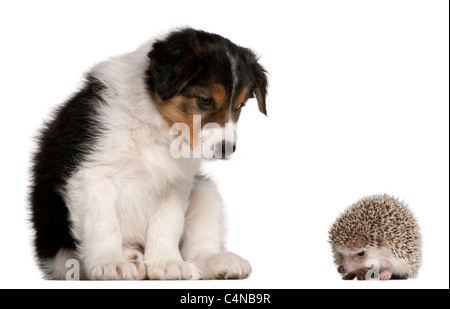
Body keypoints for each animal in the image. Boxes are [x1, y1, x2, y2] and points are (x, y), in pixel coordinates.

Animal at [30, 28, 268, 280]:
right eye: (204, 100)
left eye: (239, 106)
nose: (227, 148)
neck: (156, 126)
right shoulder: (92, 174)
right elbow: (104, 224)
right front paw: (111, 263)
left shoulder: (174, 184)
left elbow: (167, 224)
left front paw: (167, 263)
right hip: (58, 254)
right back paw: (131, 257)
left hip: (204, 190)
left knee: (199, 247)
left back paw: (218, 262)